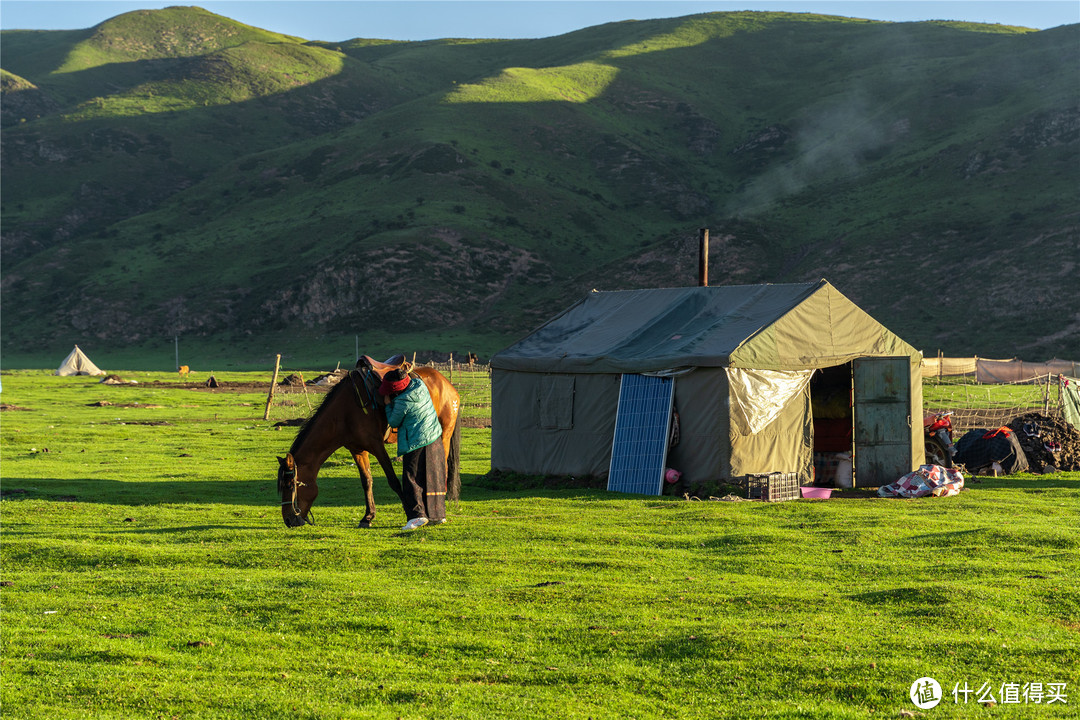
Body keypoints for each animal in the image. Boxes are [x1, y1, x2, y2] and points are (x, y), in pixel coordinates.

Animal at [276, 362, 457, 526]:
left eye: (290, 485)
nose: (289, 520)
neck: (345, 412)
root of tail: (446, 383)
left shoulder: (377, 446)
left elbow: (393, 481)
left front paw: (410, 514)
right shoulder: (357, 449)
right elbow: (367, 481)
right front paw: (368, 517)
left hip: (444, 436)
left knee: (443, 467)